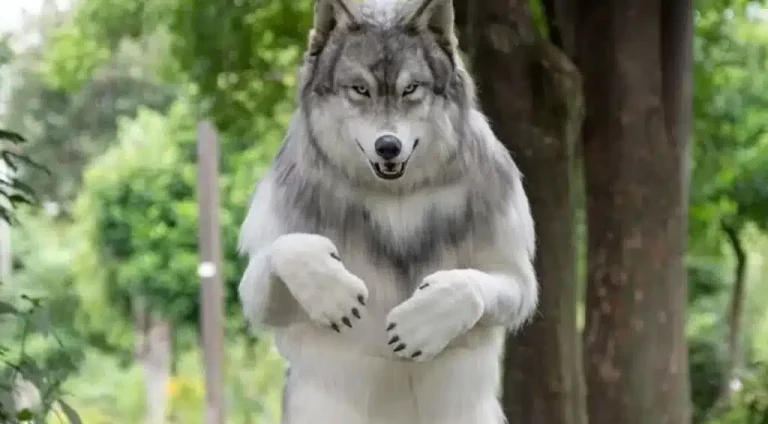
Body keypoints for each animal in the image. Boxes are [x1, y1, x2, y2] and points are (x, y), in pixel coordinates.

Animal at [237, 0, 538, 423]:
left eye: (410, 89)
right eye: (360, 89)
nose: (388, 146)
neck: (394, 197)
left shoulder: (514, 275)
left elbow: (470, 284)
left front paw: (425, 319)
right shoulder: (259, 291)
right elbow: (289, 248)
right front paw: (332, 292)